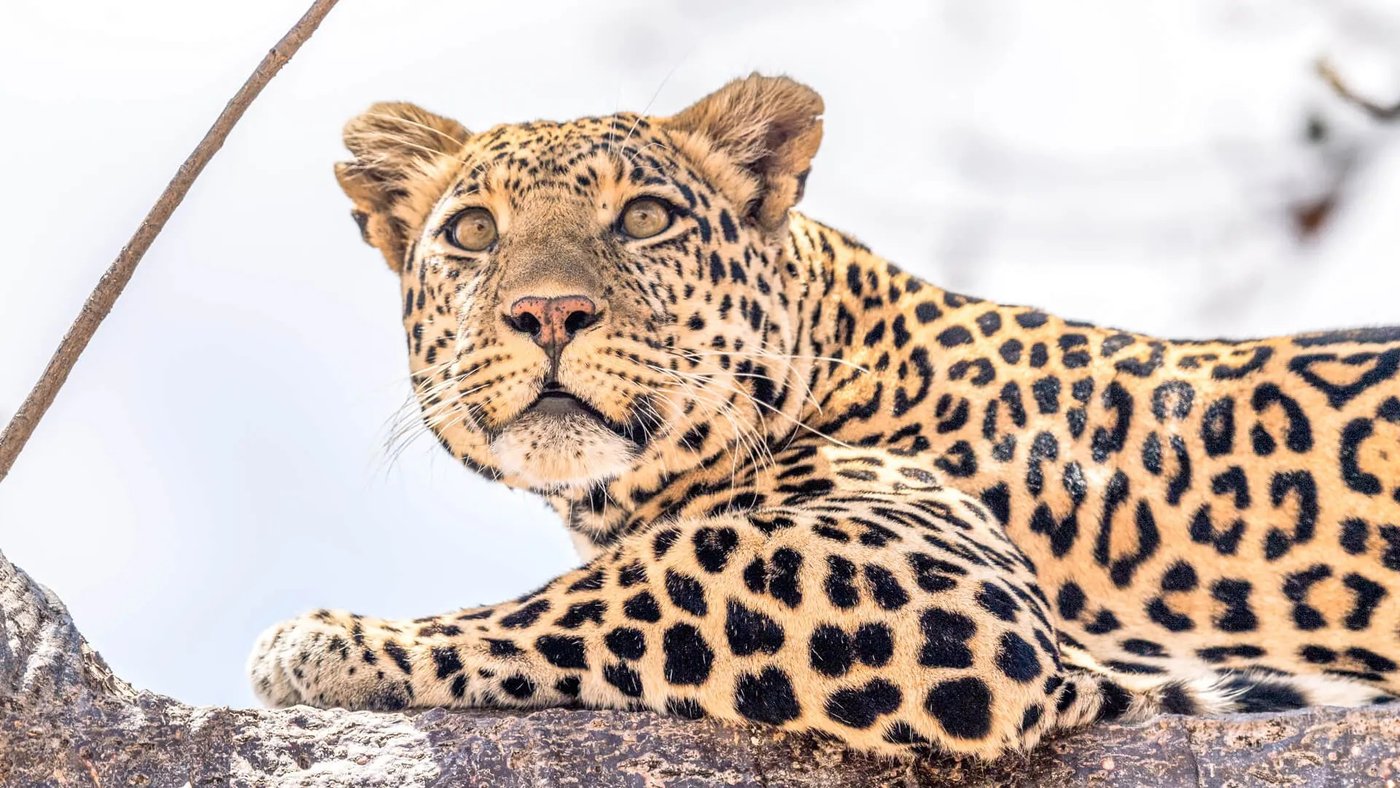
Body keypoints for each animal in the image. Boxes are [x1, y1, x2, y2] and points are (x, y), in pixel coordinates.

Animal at [249, 74, 1400, 760]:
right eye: (474, 232)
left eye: (645, 217)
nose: (549, 312)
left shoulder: (950, 582)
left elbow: (644, 572)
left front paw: (333, 641)